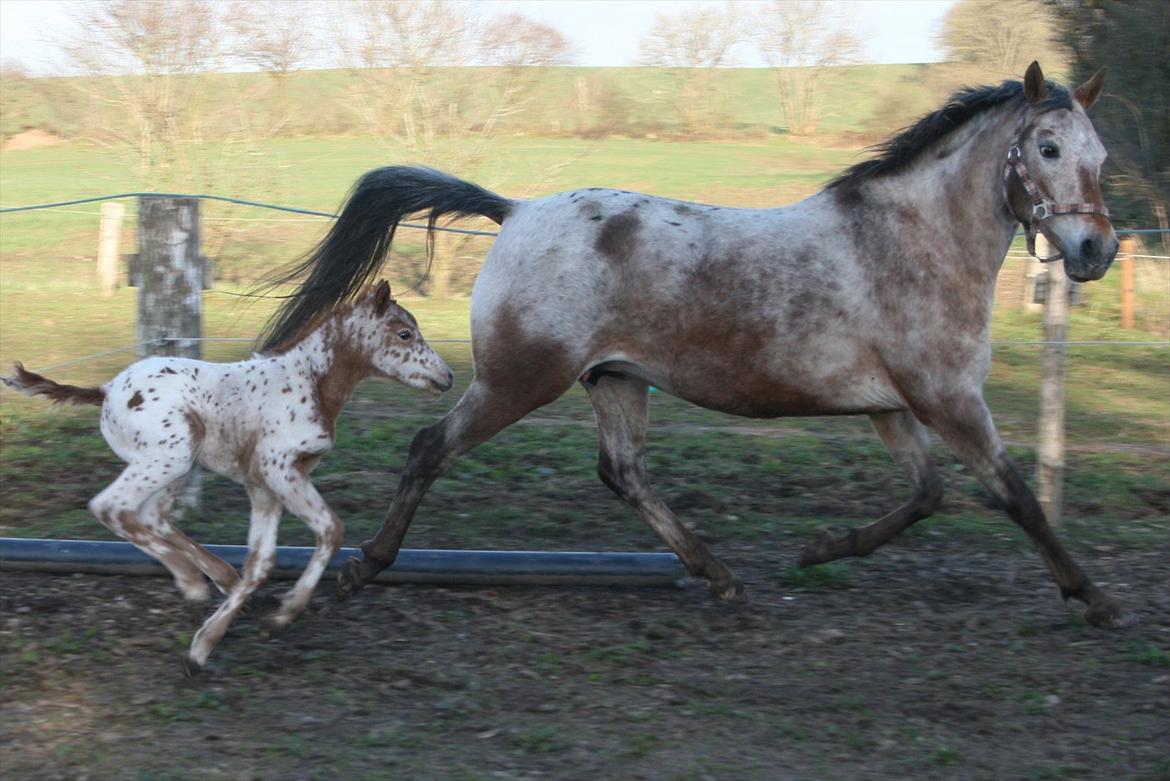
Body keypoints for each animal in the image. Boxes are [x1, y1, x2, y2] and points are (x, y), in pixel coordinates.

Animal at [3, 281, 454, 673]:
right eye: (404, 333)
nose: (447, 377)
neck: (310, 381)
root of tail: (107, 388)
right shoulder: (277, 469)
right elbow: (331, 530)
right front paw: (218, 641)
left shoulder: (265, 484)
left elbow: (262, 561)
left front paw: (246, 625)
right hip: (171, 456)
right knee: (111, 507)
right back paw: (194, 582)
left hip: (180, 465)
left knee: (150, 517)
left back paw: (213, 578)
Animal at [258, 62, 1135, 629]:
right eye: (1048, 149)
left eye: (1099, 156)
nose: (1095, 250)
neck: (910, 241)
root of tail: (517, 210)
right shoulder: (949, 399)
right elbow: (1015, 495)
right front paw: (1093, 597)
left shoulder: (893, 406)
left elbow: (927, 495)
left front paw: (820, 547)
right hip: (519, 380)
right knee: (430, 446)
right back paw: (365, 565)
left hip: (615, 378)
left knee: (623, 472)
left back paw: (718, 573)